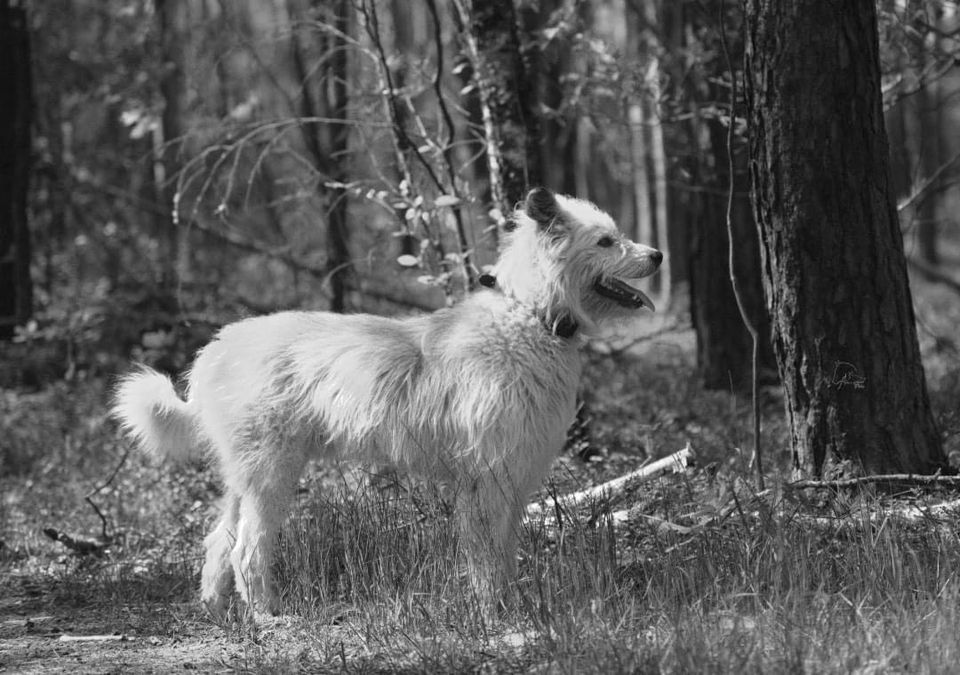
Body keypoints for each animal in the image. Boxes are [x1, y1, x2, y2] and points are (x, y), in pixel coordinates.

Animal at [114, 187, 660, 616]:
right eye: (606, 241)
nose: (656, 255)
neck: (527, 315)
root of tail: (216, 346)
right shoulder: (487, 480)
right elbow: (486, 559)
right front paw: (495, 614)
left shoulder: (513, 479)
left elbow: (504, 554)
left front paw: (510, 604)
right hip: (271, 474)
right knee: (248, 550)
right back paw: (268, 616)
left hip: (243, 477)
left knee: (219, 540)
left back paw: (217, 608)